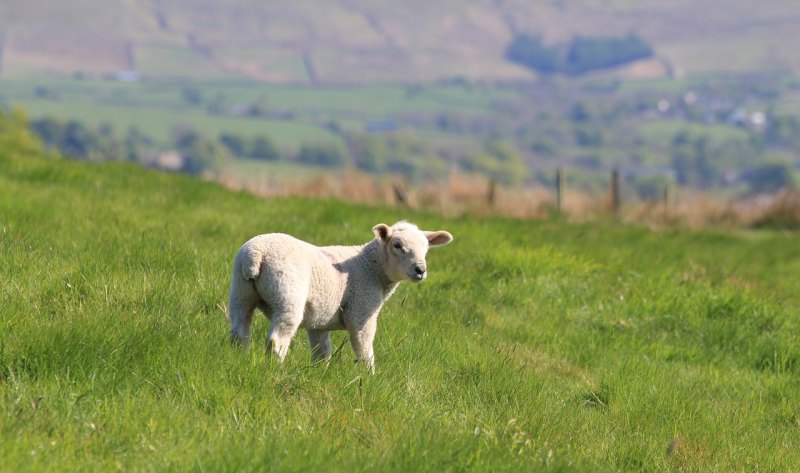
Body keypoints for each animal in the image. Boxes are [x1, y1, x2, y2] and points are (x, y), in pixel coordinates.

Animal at [225, 219, 454, 370]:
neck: (371, 266)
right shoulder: (361, 311)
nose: (420, 270)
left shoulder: (318, 319)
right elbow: (364, 349)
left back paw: (240, 359)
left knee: (239, 331)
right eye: (397, 245)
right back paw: (276, 370)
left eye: (426, 248)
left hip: (240, 291)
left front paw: (319, 373)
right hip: (287, 295)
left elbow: (322, 350)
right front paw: (368, 378)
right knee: (276, 340)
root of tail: (255, 255)